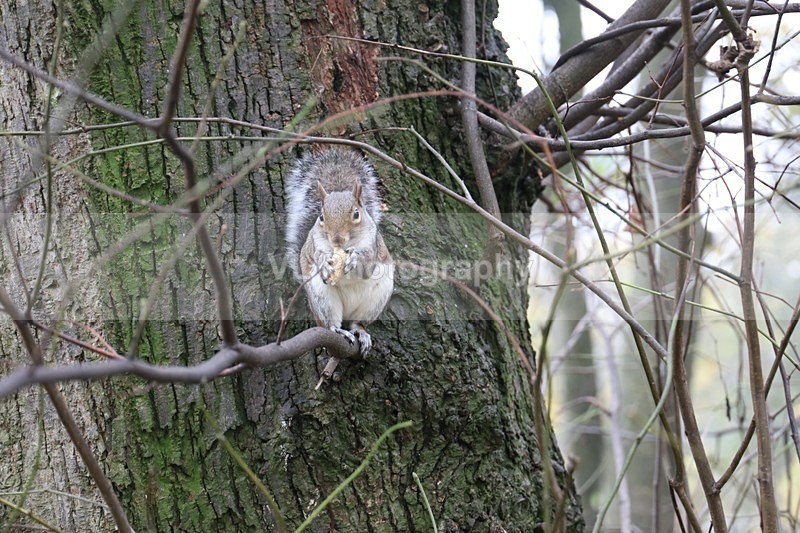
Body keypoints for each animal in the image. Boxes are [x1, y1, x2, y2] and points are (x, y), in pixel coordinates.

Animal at [284, 147, 394, 366]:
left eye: (356, 214)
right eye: (321, 217)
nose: (336, 239)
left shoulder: (374, 244)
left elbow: (367, 264)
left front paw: (356, 259)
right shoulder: (315, 245)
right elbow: (317, 257)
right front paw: (325, 265)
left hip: (376, 299)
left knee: (357, 323)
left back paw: (361, 333)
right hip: (323, 300)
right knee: (332, 323)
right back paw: (339, 330)